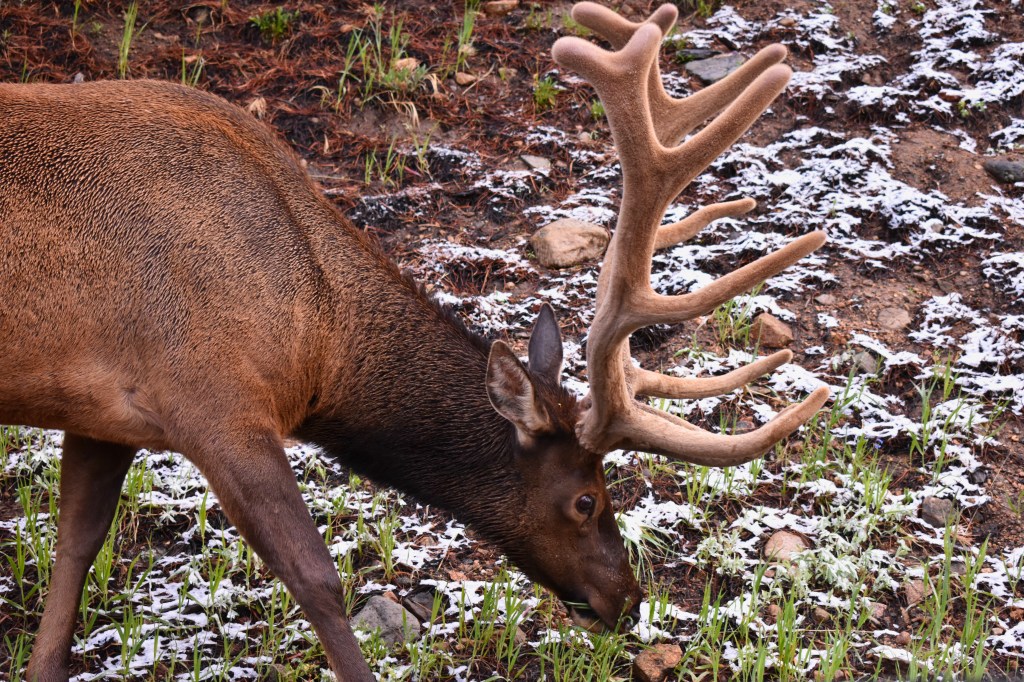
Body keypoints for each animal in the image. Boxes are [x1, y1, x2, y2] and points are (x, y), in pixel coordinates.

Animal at [0, 3, 829, 680]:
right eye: (587, 498)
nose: (624, 598)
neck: (315, 336)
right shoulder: (214, 401)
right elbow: (316, 578)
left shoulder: (104, 413)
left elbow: (76, 548)